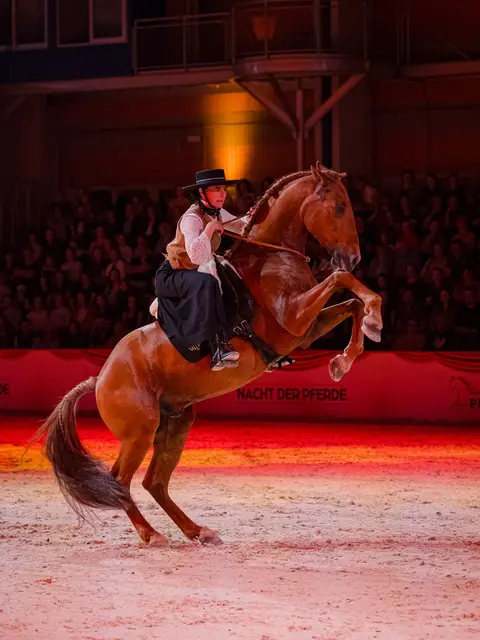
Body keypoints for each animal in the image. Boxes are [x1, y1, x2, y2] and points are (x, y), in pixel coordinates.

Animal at [33, 163, 382, 546]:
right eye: (338, 208)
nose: (354, 257)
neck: (273, 256)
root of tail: (100, 378)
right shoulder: (294, 316)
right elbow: (341, 280)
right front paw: (372, 319)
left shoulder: (304, 331)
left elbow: (350, 303)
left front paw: (348, 354)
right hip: (139, 432)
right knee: (120, 482)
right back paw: (152, 535)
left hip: (175, 423)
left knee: (154, 482)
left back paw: (197, 530)